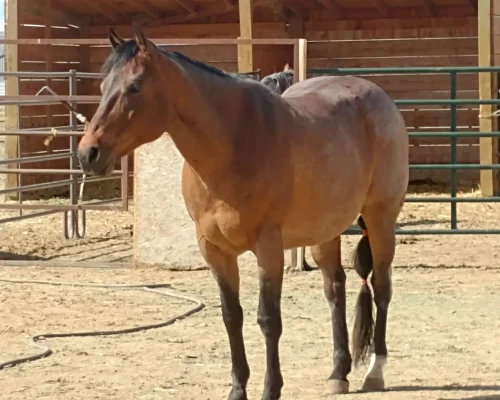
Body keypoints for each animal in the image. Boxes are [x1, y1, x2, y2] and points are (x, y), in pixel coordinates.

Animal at [76, 26, 408, 398]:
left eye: (135, 86)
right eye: (103, 87)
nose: (88, 153)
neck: (233, 145)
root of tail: (379, 97)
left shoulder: (268, 247)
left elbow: (268, 319)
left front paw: (270, 389)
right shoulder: (215, 250)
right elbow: (231, 316)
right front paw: (237, 388)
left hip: (380, 219)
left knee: (381, 286)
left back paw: (375, 371)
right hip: (325, 229)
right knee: (334, 288)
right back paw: (338, 372)